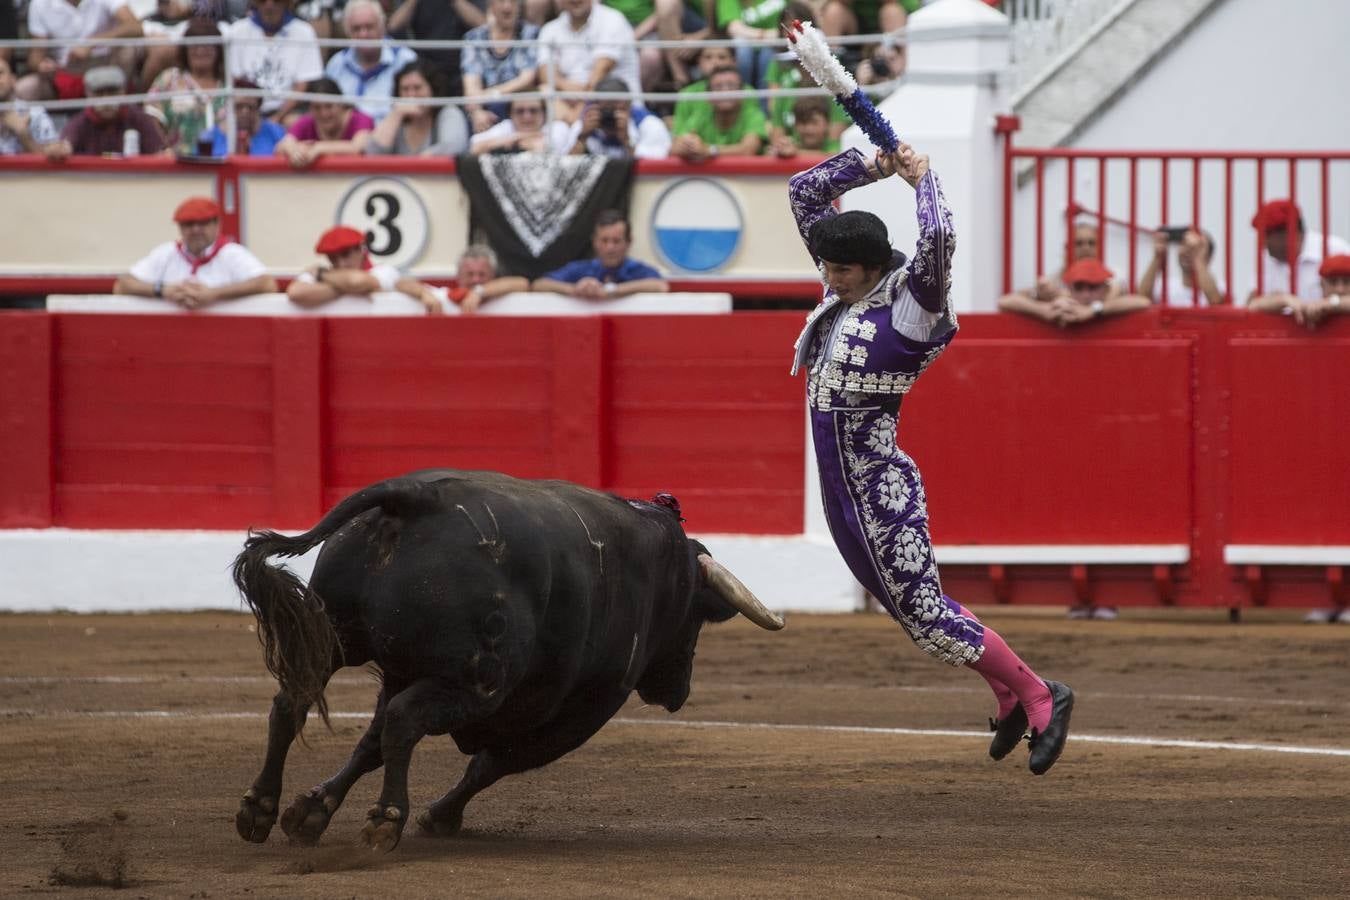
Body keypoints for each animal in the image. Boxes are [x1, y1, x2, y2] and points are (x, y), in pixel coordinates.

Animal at [229, 472, 783, 852]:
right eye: (695, 618)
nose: (677, 693)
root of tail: (415, 496)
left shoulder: (404, 672)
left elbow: (371, 744)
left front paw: (311, 812)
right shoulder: (578, 707)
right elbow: (493, 762)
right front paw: (438, 817)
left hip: (335, 640)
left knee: (293, 704)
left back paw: (260, 808)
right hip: (474, 682)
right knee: (404, 722)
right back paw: (386, 819)